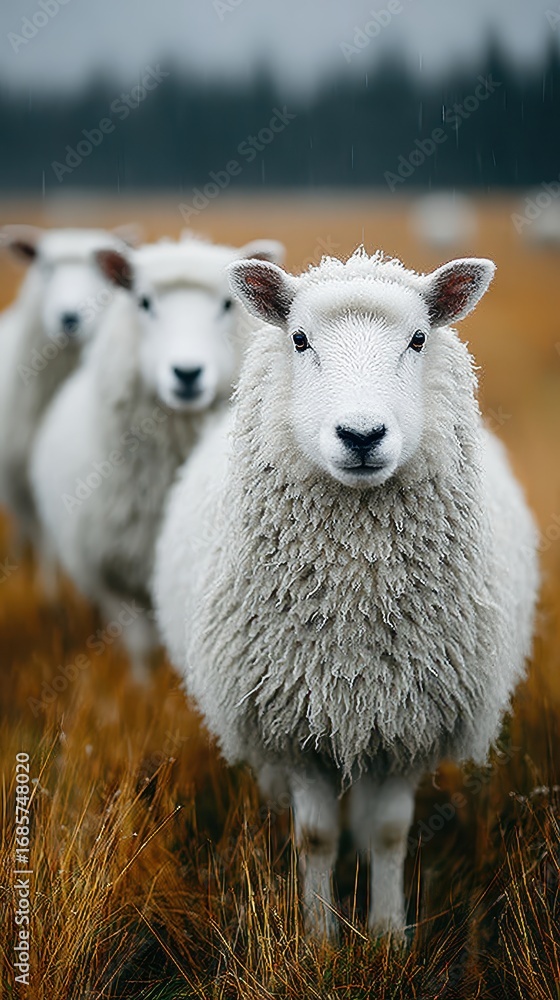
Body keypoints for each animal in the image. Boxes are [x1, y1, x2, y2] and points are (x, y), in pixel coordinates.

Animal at [31, 233, 284, 677]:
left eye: (226, 303)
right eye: (144, 302)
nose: (187, 373)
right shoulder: (117, 581)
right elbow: (142, 656)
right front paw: (142, 692)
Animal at [152, 248, 539, 941]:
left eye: (419, 338)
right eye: (300, 339)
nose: (362, 435)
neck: (355, 606)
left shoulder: (407, 720)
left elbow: (387, 832)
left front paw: (387, 936)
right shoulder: (294, 723)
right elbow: (314, 837)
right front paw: (319, 937)